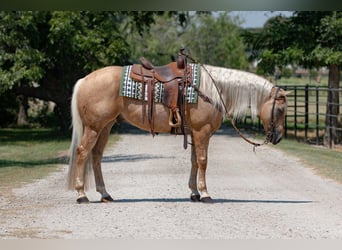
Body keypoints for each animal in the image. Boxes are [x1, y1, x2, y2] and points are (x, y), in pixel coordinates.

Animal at [68, 64, 288, 203]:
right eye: (280, 109)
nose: (278, 137)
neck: (213, 89)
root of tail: (84, 80)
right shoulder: (202, 131)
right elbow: (203, 161)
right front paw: (205, 194)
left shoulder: (195, 133)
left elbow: (194, 161)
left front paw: (194, 193)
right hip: (94, 128)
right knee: (82, 153)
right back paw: (81, 195)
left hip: (105, 127)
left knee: (96, 157)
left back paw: (105, 194)